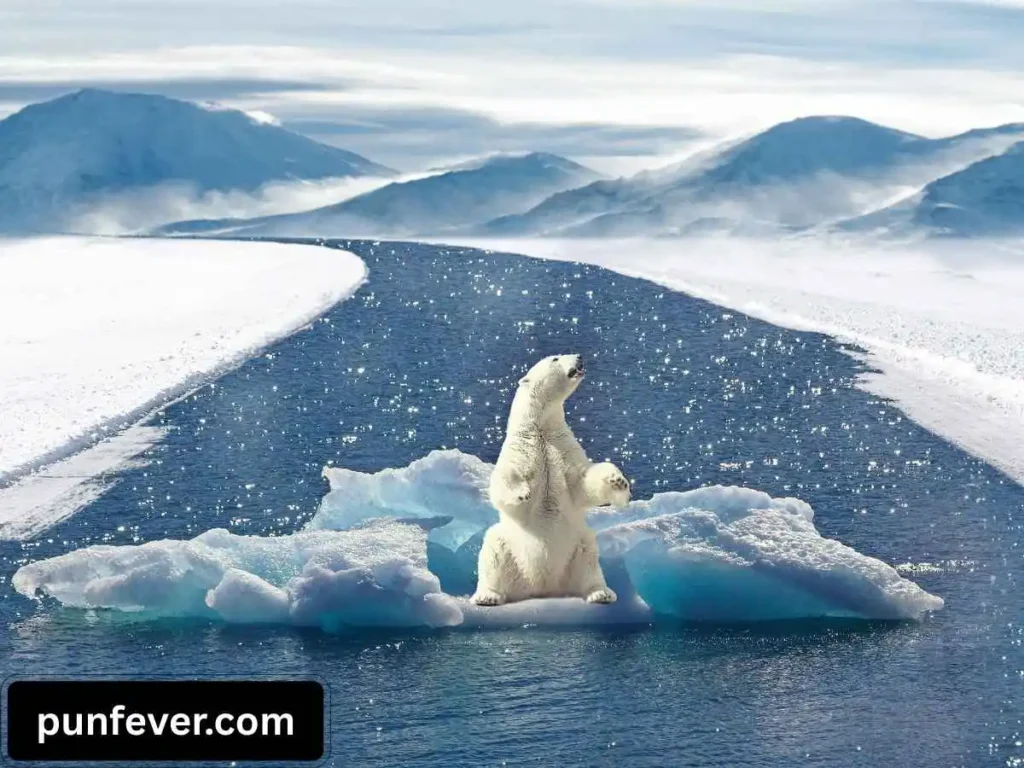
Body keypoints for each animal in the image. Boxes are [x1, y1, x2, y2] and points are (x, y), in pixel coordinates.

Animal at [471, 353, 631, 607]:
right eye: (555, 358)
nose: (579, 356)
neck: (541, 428)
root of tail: (542, 587)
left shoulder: (562, 447)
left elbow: (582, 481)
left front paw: (618, 481)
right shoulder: (521, 450)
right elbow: (504, 479)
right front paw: (522, 492)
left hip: (576, 547)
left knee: (589, 557)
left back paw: (601, 593)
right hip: (509, 548)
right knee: (493, 550)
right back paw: (487, 596)